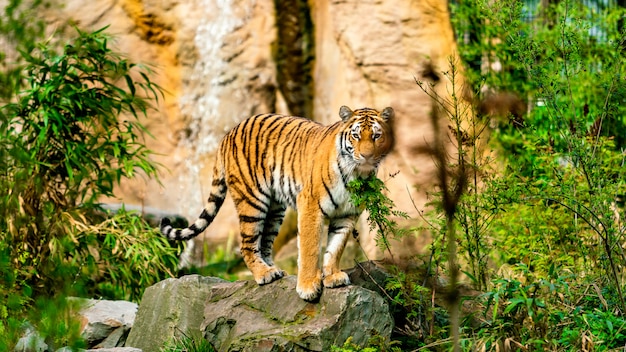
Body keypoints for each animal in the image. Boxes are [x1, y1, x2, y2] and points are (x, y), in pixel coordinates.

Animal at [161, 106, 394, 302]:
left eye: (376, 135)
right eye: (356, 136)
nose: (366, 156)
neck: (357, 174)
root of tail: (228, 133)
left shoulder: (346, 214)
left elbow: (336, 247)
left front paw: (332, 276)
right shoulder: (310, 205)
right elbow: (310, 248)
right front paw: (308, 286)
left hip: (275, 209)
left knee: (264, 243)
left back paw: (276, 272)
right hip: (252, 201)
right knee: (246, 245)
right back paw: (264, 274)